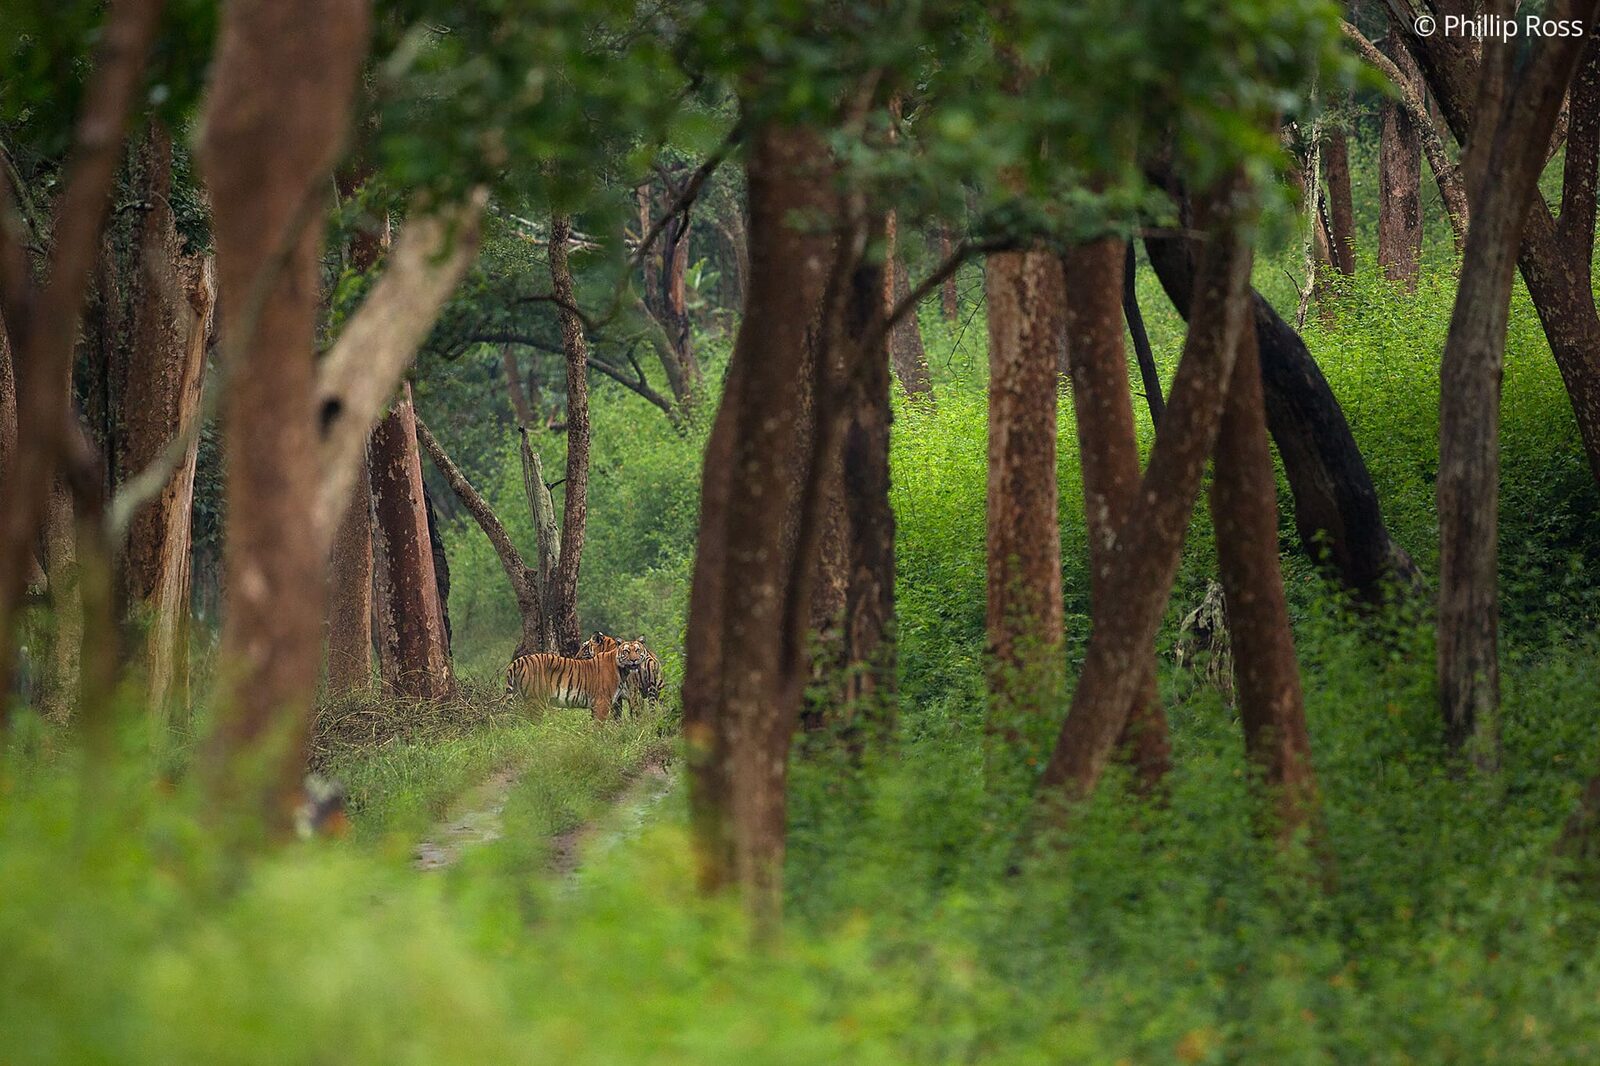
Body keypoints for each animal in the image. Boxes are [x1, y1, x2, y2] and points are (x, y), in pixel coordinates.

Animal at [506, 638, 647, 721]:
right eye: (626, 651)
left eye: (637, 650)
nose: (634, 660)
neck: (623, 670)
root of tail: (519, 660)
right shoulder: (602, 702)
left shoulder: (597, 705)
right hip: (536, 701)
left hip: (520, 697)